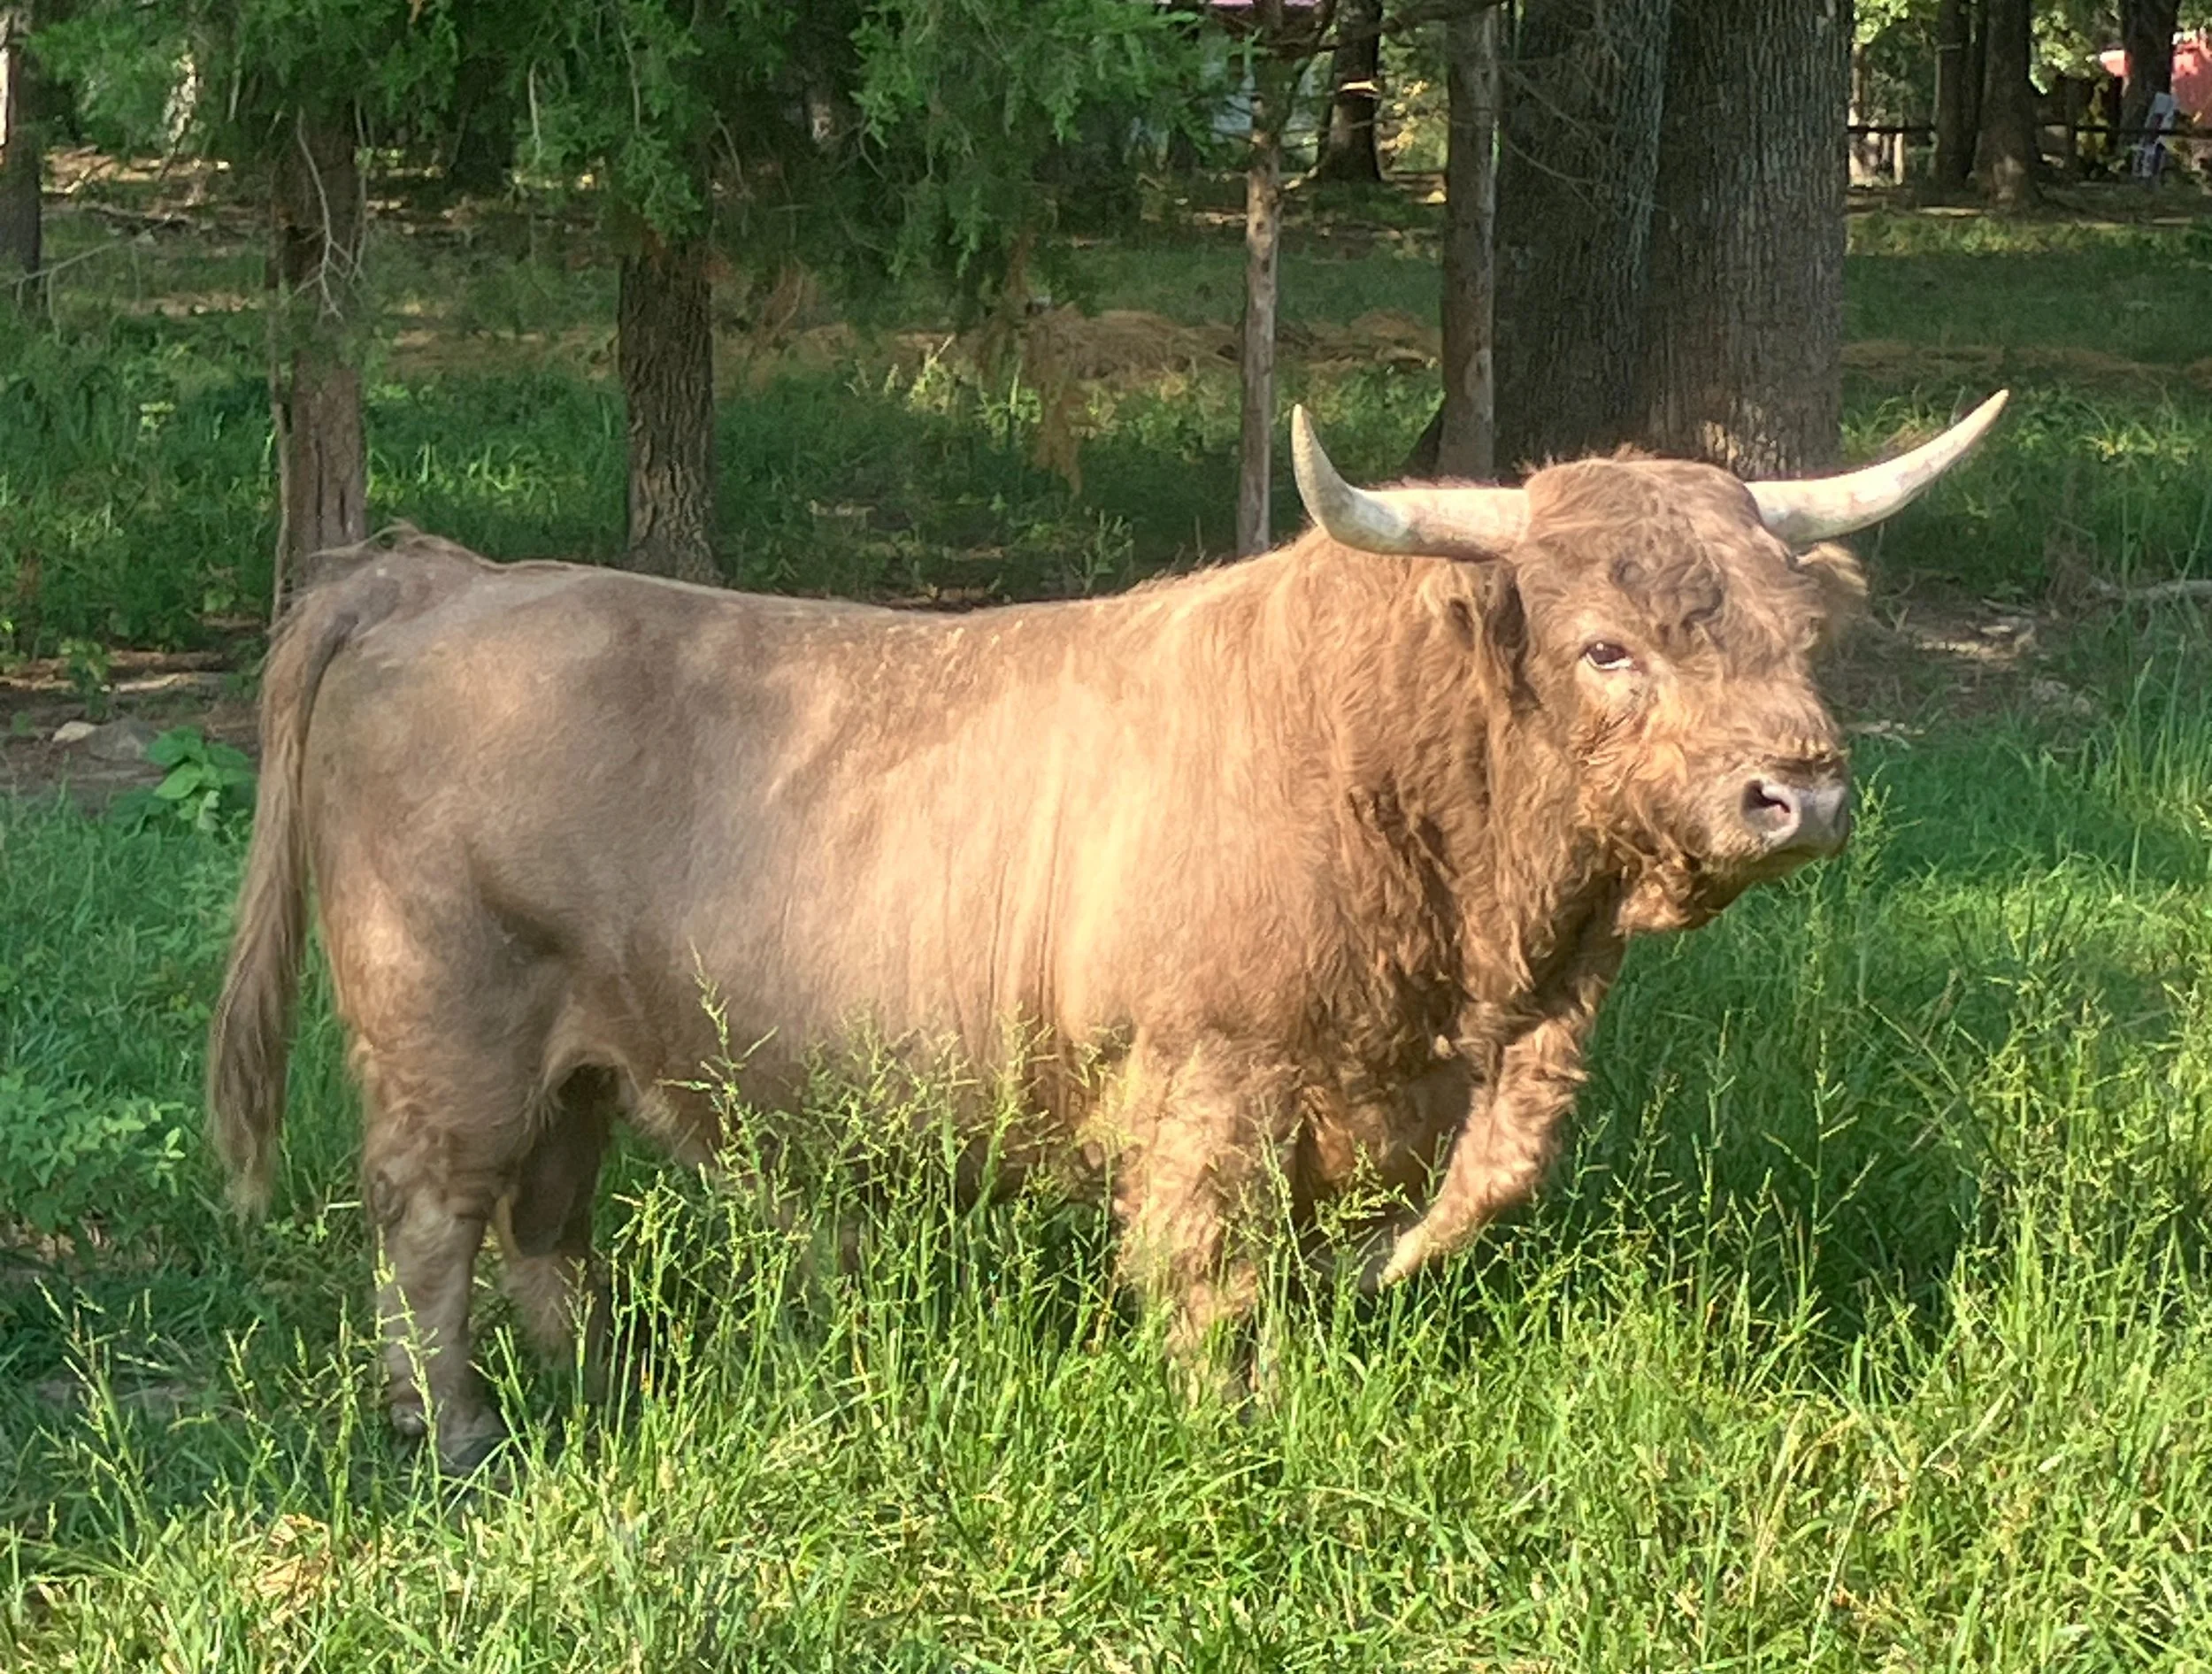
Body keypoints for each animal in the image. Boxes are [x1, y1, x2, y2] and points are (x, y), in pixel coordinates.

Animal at [208, 393, 2007, 1469]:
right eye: (1606, 645)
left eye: (1798, 630)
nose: (1800, 791)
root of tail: (437, 577)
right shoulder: (1212, 1073)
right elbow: (1210, 1272)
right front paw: (1235, 1425)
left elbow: (1406, 1226)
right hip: (450, 1026)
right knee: (431, 1221)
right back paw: (450, 1435)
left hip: (585, 1045)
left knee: (548, 1221)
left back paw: (593, 1382)